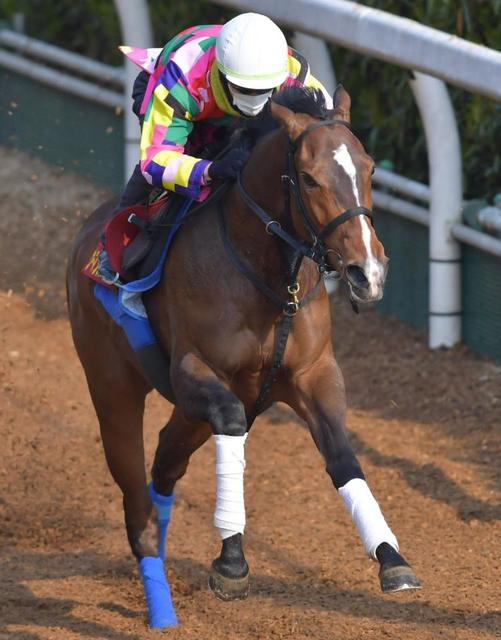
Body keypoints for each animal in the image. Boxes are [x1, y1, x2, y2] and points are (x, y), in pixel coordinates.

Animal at [65, 86, 418, 632]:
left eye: (370, 168)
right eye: (310, 178)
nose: (368, 271)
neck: (269, 277)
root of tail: (88, 232)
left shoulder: (315, 375)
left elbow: (342, 454)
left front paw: (391, 557)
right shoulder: (195, 373)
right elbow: (230, 425)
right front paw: (231, 560)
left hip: (190, 414)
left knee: (164, 464)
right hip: (113, 388)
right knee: (137, 503)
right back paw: (161, 609)